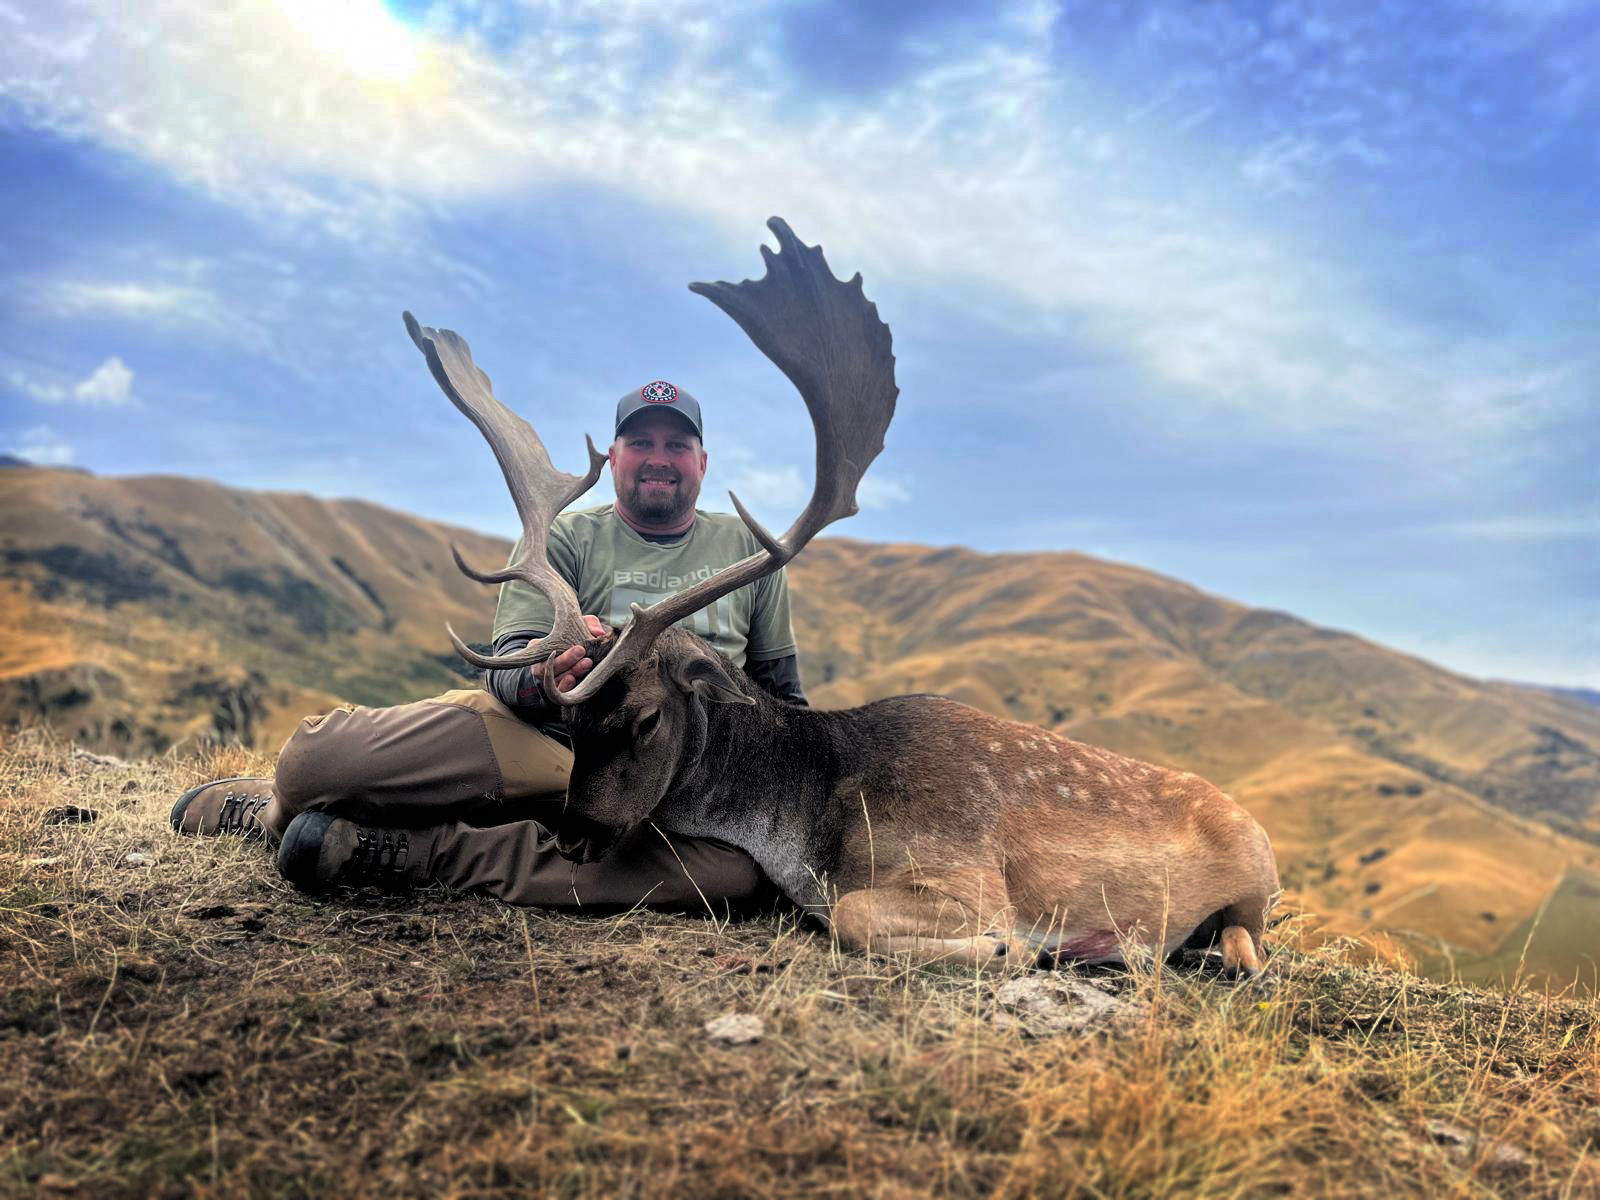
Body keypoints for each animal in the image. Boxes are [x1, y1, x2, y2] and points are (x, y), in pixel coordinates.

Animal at [403, 217, 1280, 976]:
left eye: (647, 717)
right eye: (570, 721)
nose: (575, 837)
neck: (810, 823)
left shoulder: (965, 874)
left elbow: (856, 917)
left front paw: (1017, 948)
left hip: (1258, 875)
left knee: (1247, 936)